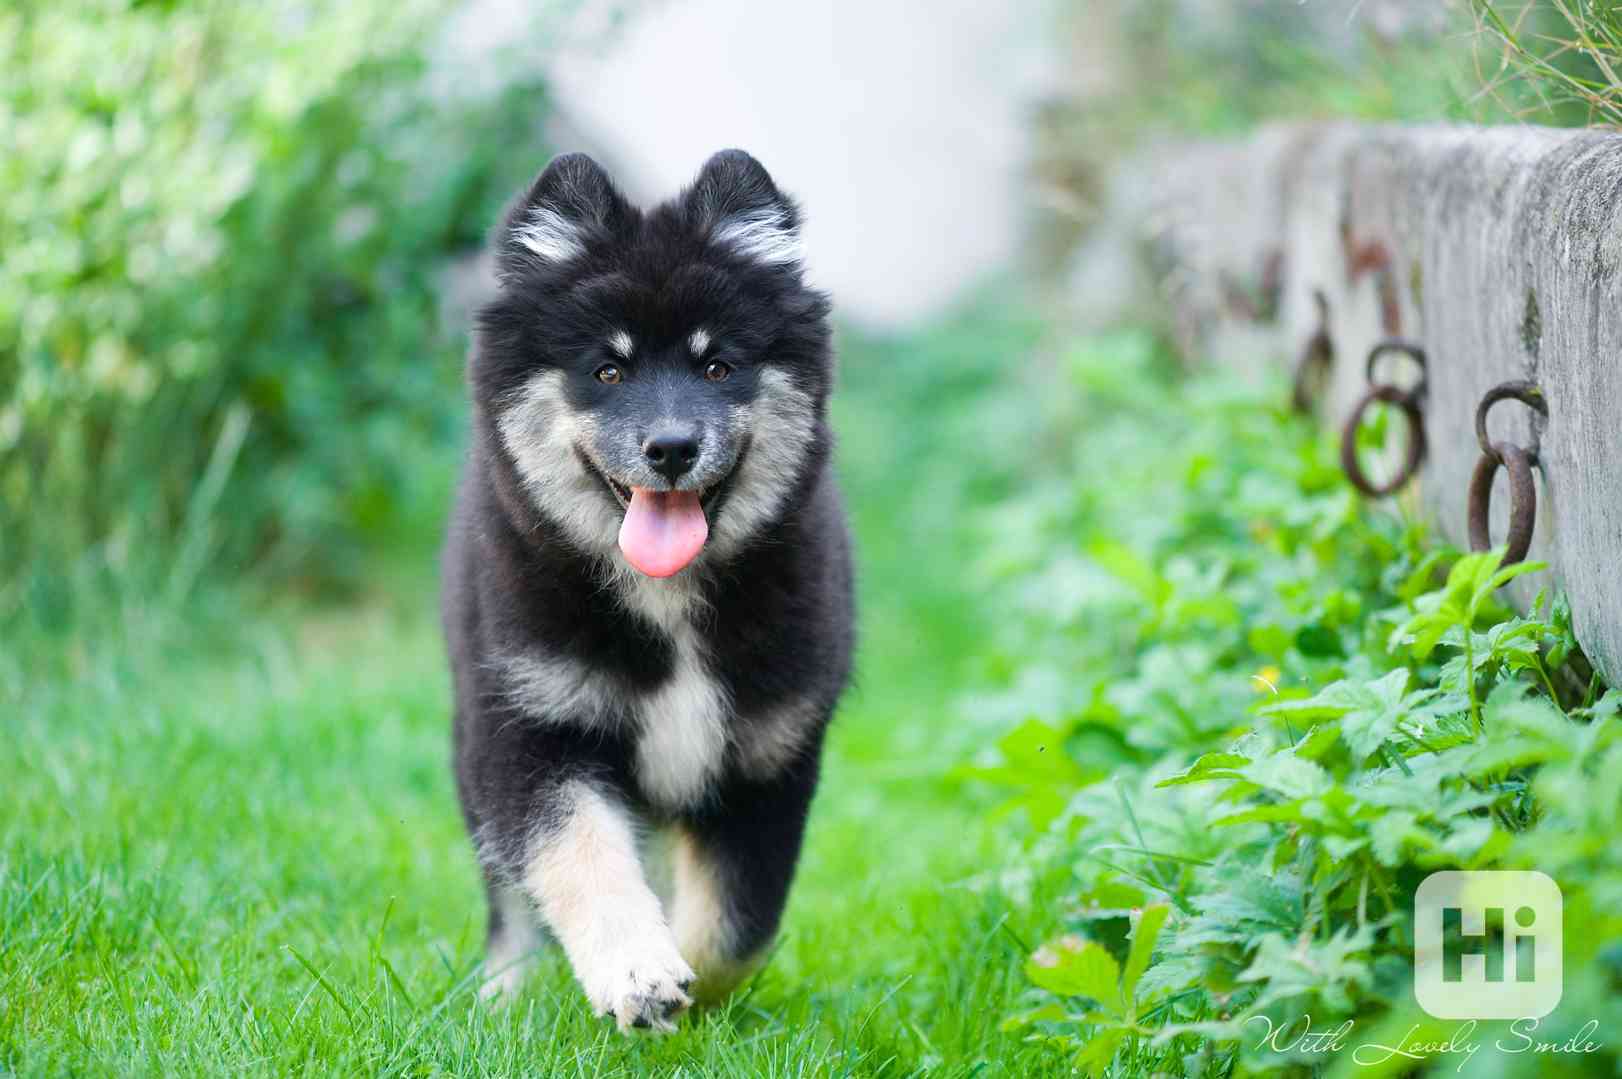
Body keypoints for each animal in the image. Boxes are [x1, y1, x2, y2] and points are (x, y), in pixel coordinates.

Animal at [437, 149, 856, 1025]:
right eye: (608, 369)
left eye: (717, 365)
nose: (669, 447)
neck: (668, 604)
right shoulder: (532, 727)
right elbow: (578, 855)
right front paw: (637, 972)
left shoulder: (767, 756)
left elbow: (737, 925)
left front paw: (692, 992)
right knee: (508, 893)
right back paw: (506, 991)